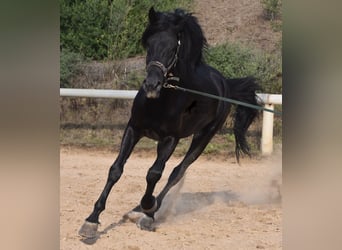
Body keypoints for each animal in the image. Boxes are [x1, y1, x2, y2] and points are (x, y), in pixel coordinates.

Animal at [78, 7, 260, 238]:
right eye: (149, 44)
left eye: (173, 48)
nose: (151, 85)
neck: (161, 101)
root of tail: (225, 83)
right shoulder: (134, 129)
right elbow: (116, 169)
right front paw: (91, 220)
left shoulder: (170, 139)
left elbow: (154, 174)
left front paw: (148, 209)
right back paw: (138, 210)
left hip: (203, 138)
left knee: (176, 172)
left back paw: (146, 211)